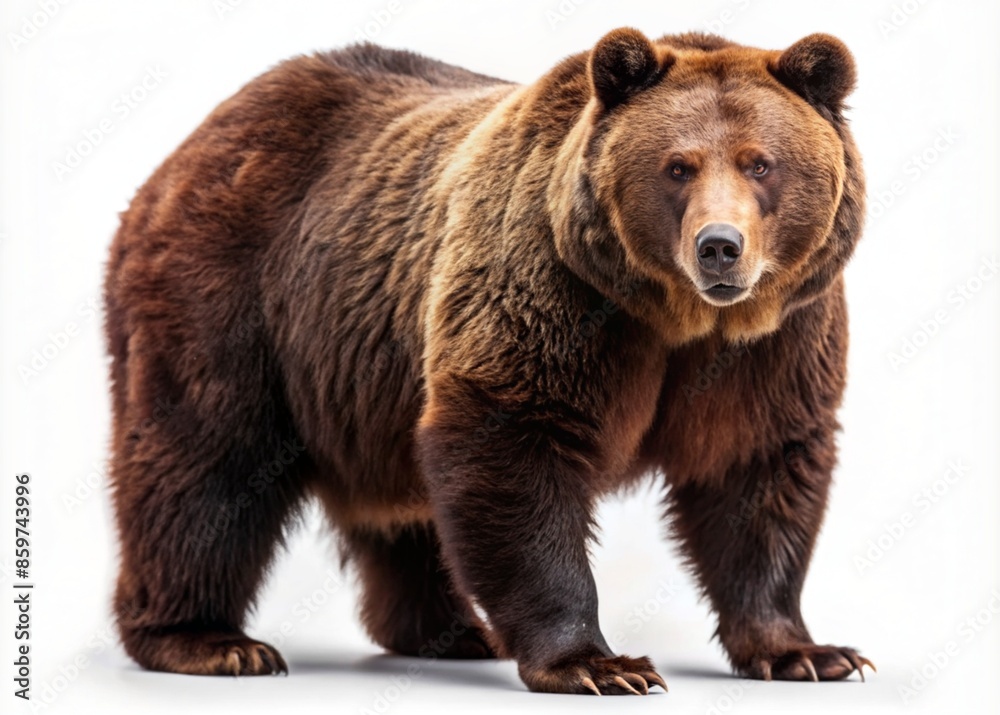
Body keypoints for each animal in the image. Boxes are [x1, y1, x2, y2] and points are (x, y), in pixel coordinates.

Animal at [103, 28, 872, 694]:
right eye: (677, 166)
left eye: (760, 163)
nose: (719, 247)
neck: (676, 316)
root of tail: (189, 145)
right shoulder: (553, 286)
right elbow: (514, 443)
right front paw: (598, 663)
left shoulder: (776, 340)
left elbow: (756, 471)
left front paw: (808, 652)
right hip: (233, 297)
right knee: (204, 461)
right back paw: (208, 640)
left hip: (371, 374)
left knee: (403, 505)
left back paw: (452, 630)